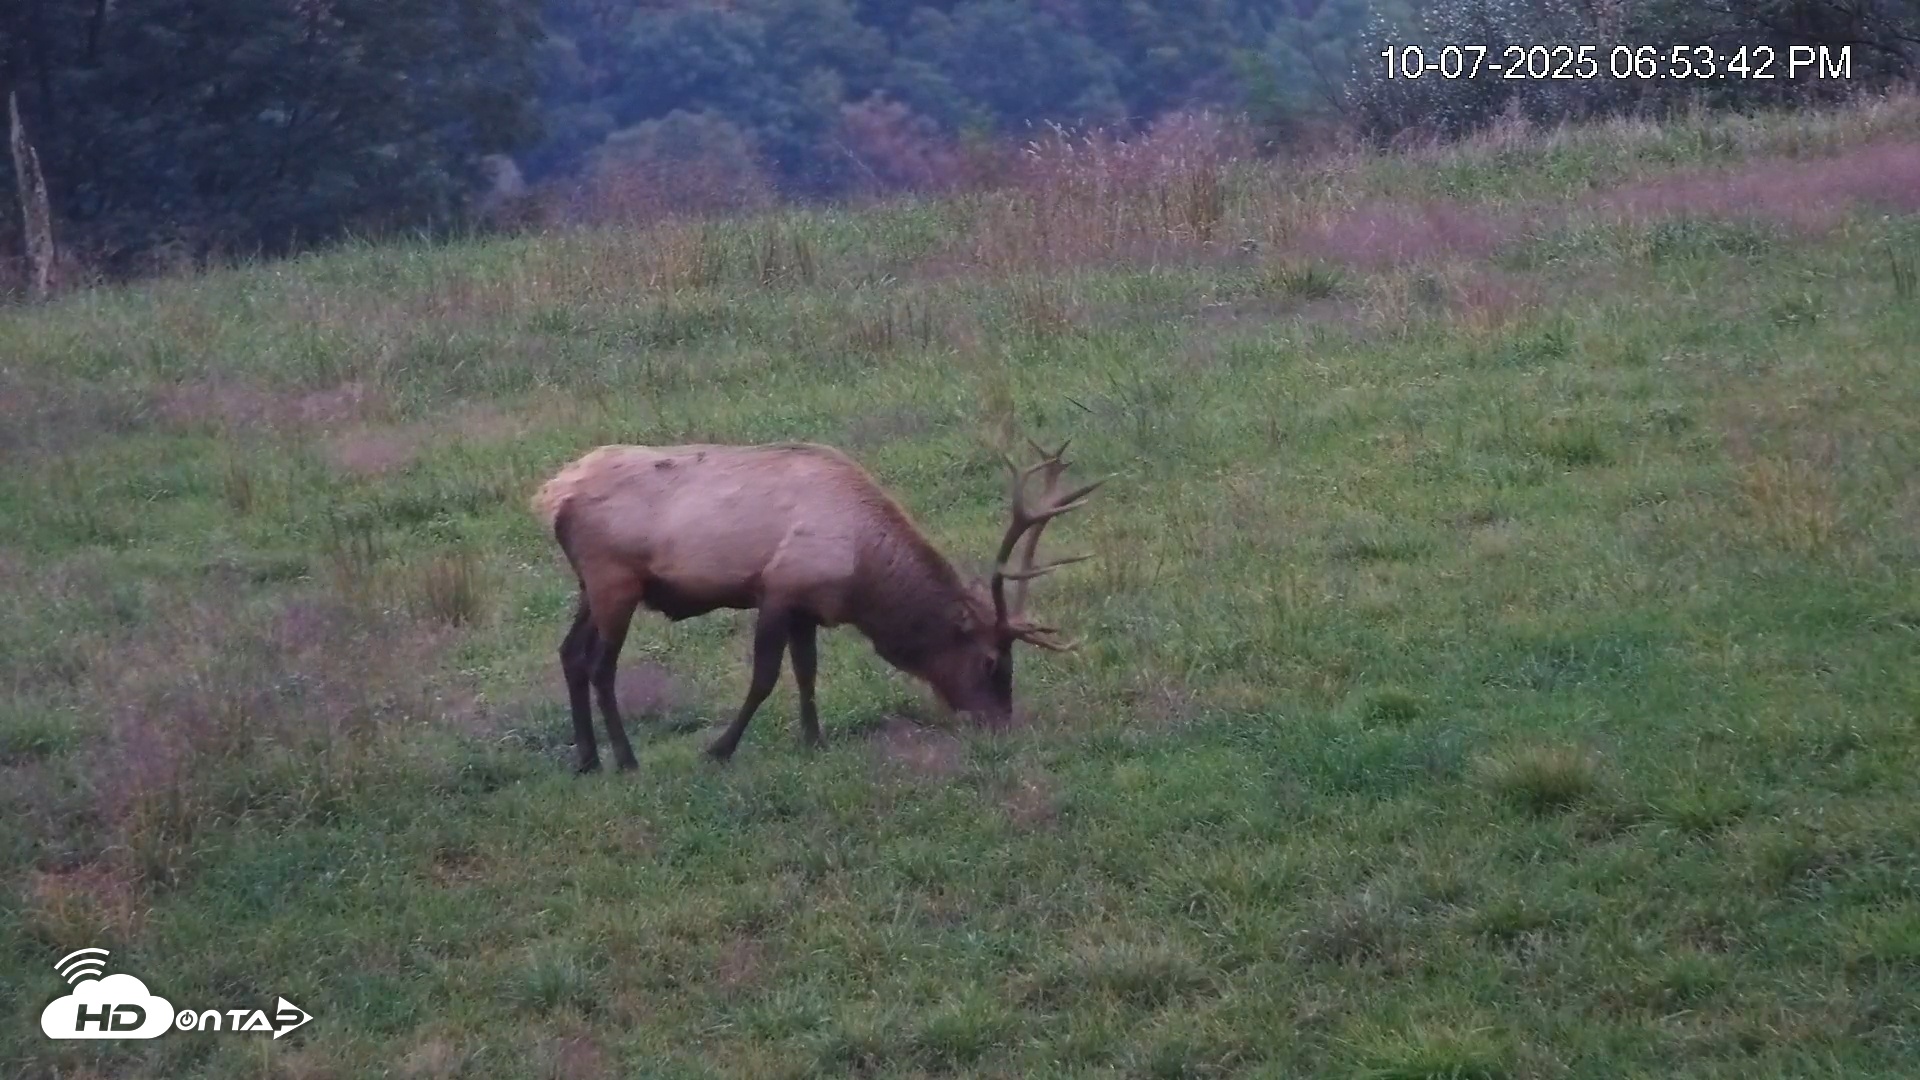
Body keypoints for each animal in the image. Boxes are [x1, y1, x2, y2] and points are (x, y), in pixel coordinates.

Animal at [529, 438, 1106, 772]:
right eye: (990, 662)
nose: (1002, 722)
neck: (861, 573)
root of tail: (552, 495)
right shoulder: (779, 589)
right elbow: (764, 677)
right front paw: (720, 748)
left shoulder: (807, 608)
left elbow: (806, 672)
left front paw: (814, 739)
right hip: (615, 580)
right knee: (601, 666)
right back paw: (625, 759)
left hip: (590, 585)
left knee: (569, 654)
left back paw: (586, 758)